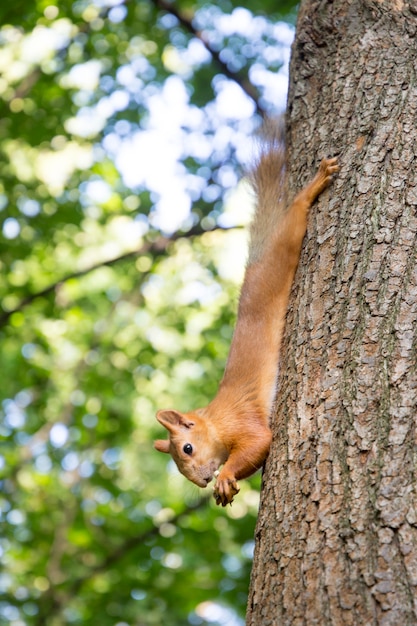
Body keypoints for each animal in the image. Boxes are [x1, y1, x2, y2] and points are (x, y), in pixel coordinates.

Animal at [154, 118, 338, 508]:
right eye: (178, 464)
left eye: (187, 448)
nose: (202, 480)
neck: (214, 420)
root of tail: (254, 262)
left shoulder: (241, 421)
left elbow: (259, 443)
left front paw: (225, 476)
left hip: (283, 250)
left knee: (294, 218)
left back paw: (313, 186)